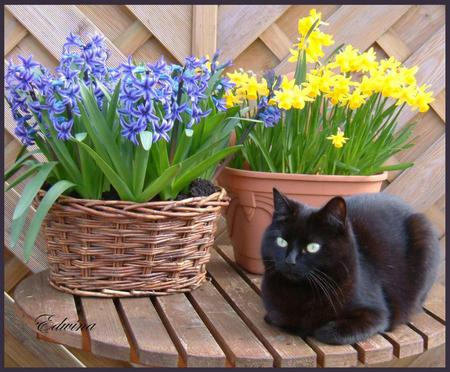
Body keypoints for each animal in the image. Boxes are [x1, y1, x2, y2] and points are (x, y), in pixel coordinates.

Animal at [260, 189, 440, 346]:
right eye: (281, 242)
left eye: (312, 247)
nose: (290, 261)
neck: (301, 292)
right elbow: (278, 316)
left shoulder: (377, 314)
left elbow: (329, 332)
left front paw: (320, 328)